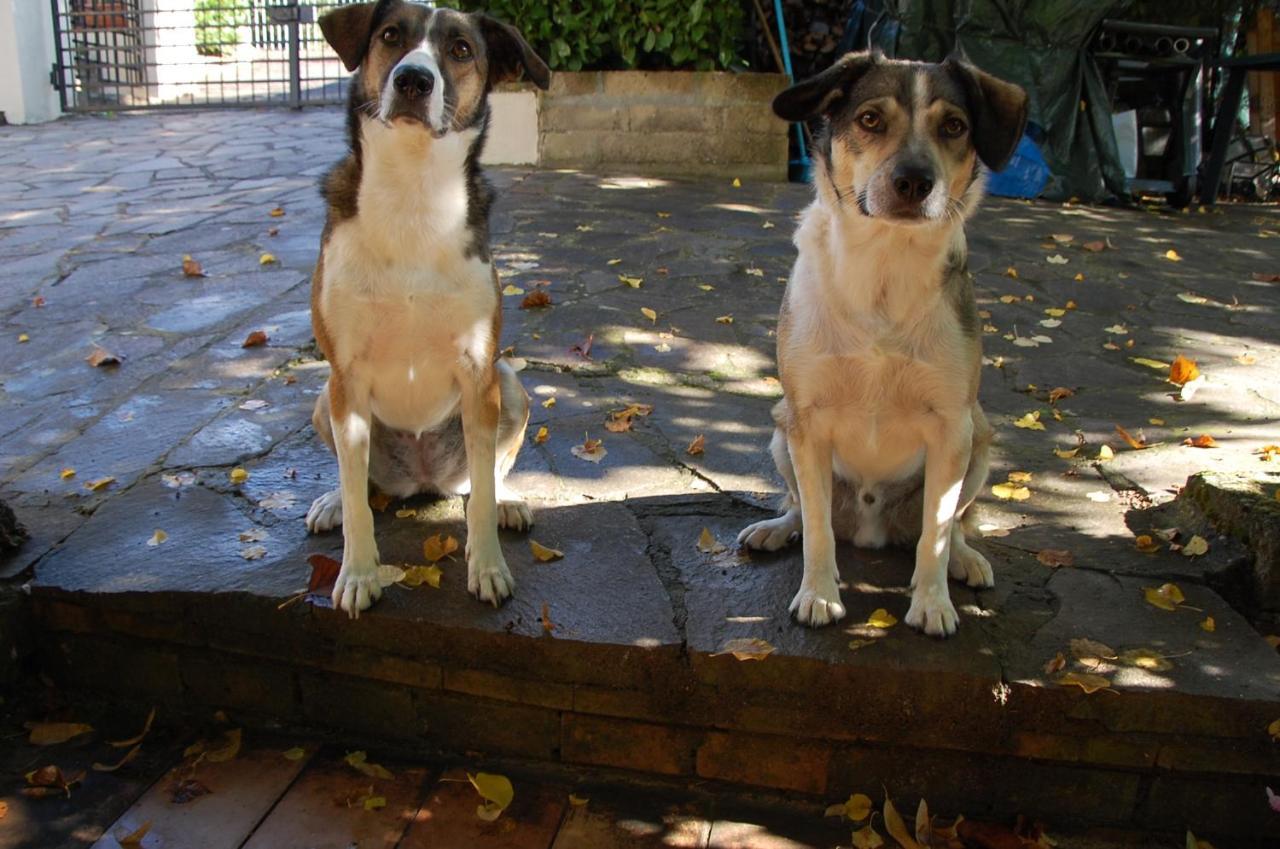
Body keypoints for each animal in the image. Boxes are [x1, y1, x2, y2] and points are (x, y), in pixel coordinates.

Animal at [311, 0, 555, 614]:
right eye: (390, 36)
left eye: (461, 50)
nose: (413, 80)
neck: (414, 195)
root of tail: (422, 481)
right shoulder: (346, 375)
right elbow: (357, 502)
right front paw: (358, 574)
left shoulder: (477, 370)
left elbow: (483, 499)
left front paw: (488, 567)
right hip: (324, 398)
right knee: (359, 482)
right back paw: (331, 500)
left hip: (509, 384)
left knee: (484, 477)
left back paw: (508, 499)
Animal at [737, 51, 1024, 637]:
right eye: (870, 119)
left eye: (953, 126)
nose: (914, 181)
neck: (884, 275)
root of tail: (872, 527)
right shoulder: (806, 420)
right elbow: (818, 528)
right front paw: (818, 595)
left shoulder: (951, 427)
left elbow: (936, 532)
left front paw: (933, 603)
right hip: (779, 428)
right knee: (803, 508)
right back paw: (777, 528)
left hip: (980, 438)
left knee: (953, 524)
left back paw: (965, 559)